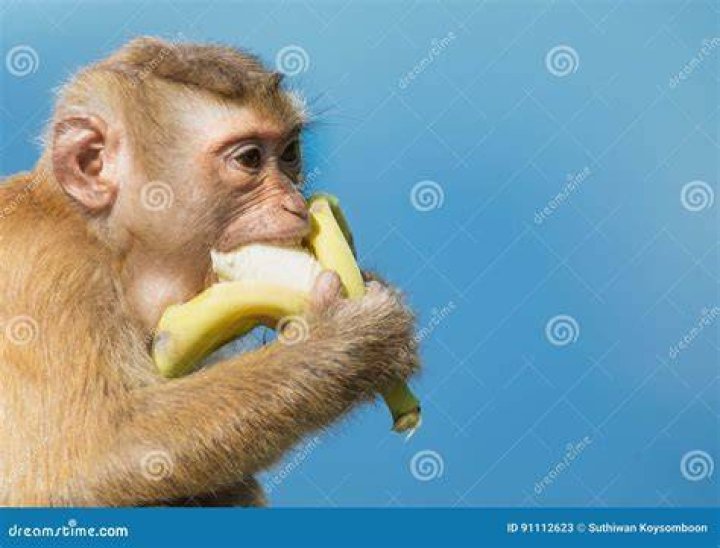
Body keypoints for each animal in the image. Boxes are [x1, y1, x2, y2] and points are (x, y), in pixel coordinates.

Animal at [0, 37, 419, 506]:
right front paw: (355, 339)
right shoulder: (45, 270)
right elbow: (83, 458)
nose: (296, 205)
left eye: (290, 153)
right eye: (250, 159)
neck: (103, 242)